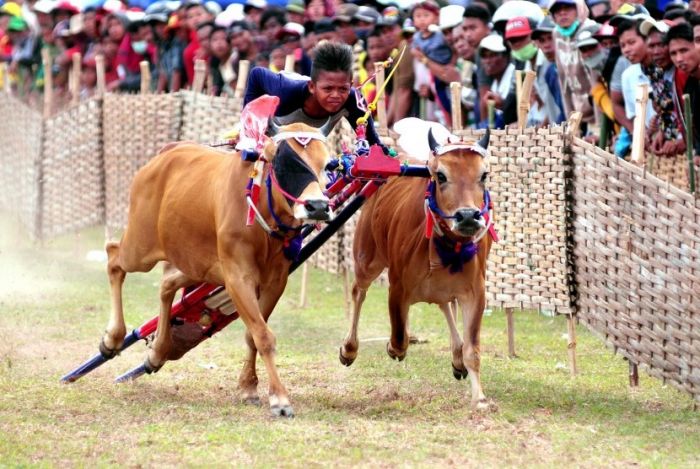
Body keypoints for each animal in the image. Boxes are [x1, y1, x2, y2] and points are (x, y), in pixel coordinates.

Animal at [101, 121, 334, 416]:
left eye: (327, 164)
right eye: (284, 163)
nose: (318, 206)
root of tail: (167, 153)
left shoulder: (275, 282)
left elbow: (253, 334)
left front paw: (248, 386)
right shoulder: (237, 279)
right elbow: (263, 335)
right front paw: (280, 398)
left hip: (195, 263)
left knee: (166, 284)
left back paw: (157, 353)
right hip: (140, 249)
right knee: (113, 257)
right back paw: (112, 339)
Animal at [338, 129, 492, 410]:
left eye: (484, 175)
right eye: (440, 175)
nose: (467, 216)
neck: (449, 245)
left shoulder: (476, 293)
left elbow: (473, 349)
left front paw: (480, 398)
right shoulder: (398, 287)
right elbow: (399, 338)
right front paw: (391, 347)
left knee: (444, 305)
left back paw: (456, 357)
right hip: (367, 258)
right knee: (358, 292)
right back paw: (349, 349)